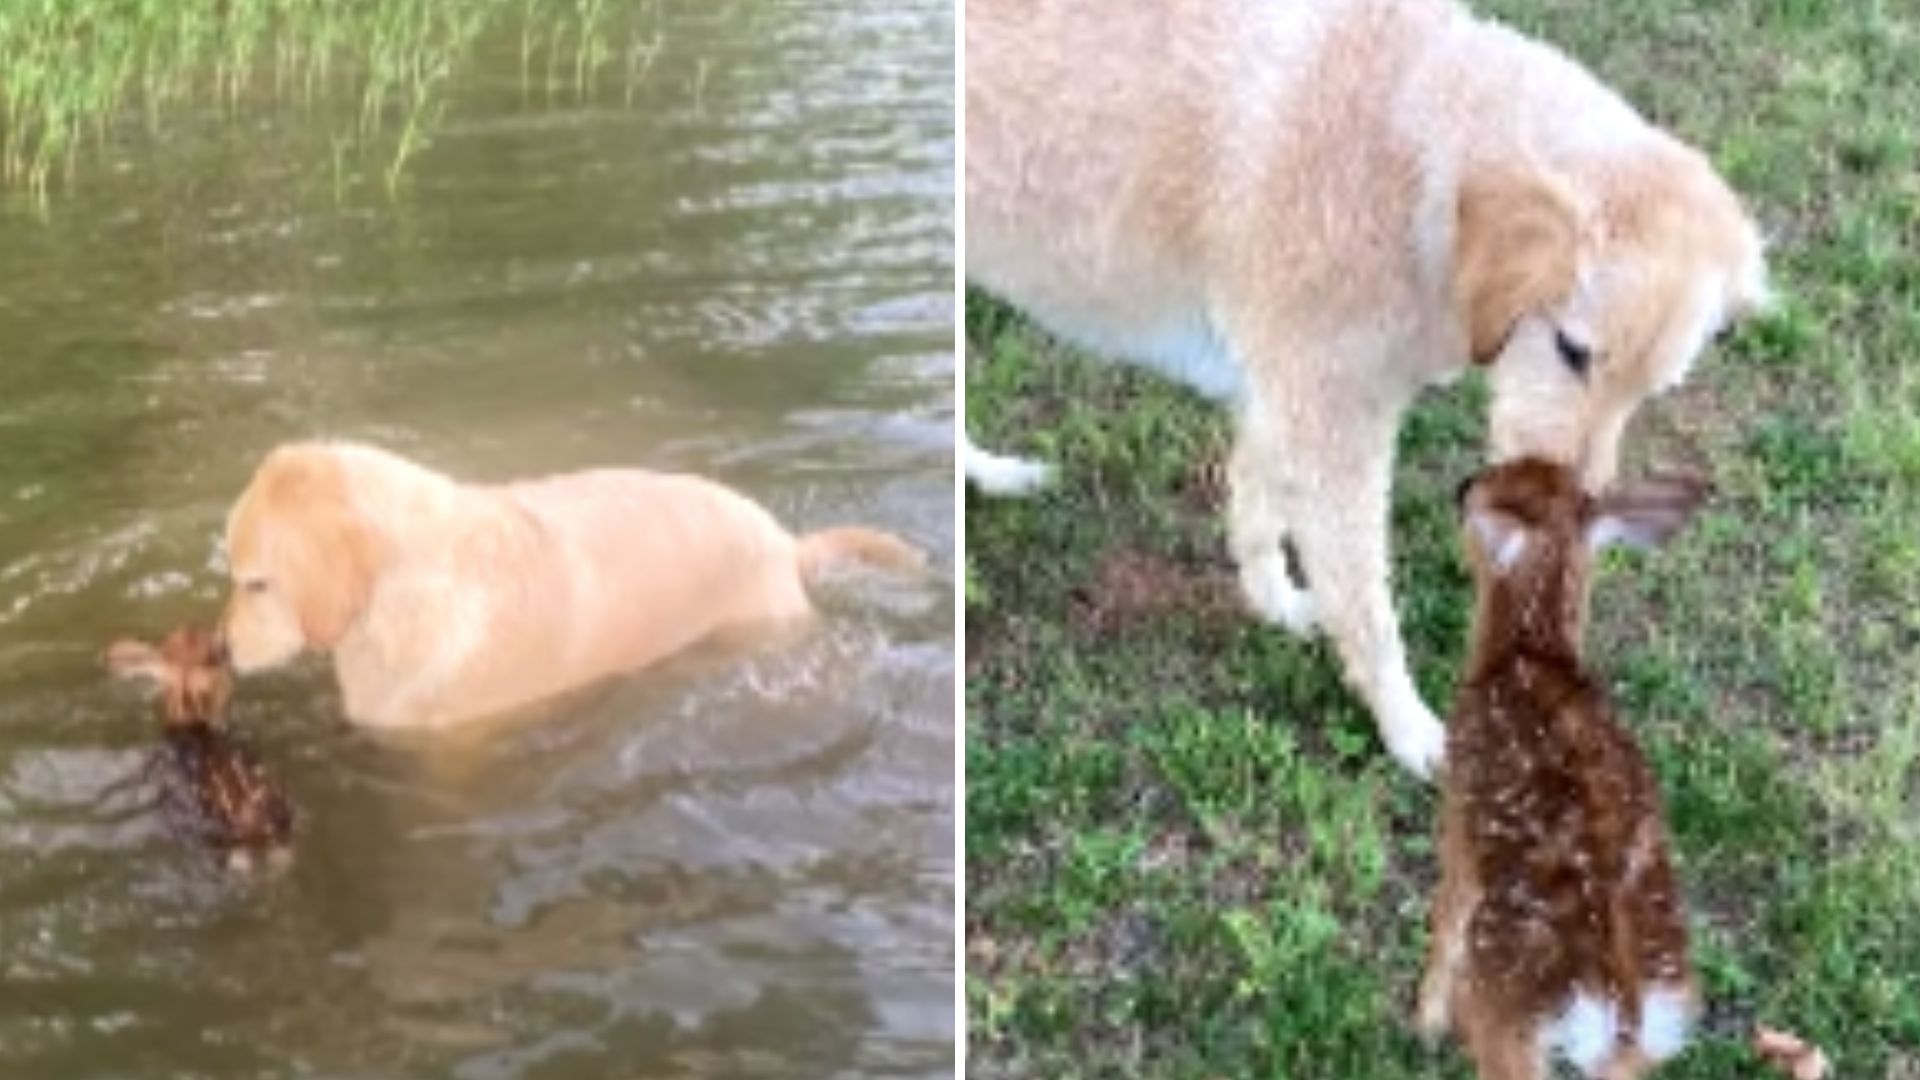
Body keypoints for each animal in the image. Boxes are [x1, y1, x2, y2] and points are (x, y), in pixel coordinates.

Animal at [967, 0, 1774, 776]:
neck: (1421, 154)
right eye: (1573, 351)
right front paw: (1409, 729)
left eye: (1652, 392)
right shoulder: (1330, 428)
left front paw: (1274, 603)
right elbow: (1369, 609)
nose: (1577, 517)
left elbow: (1257, 510)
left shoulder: (1286, 399)